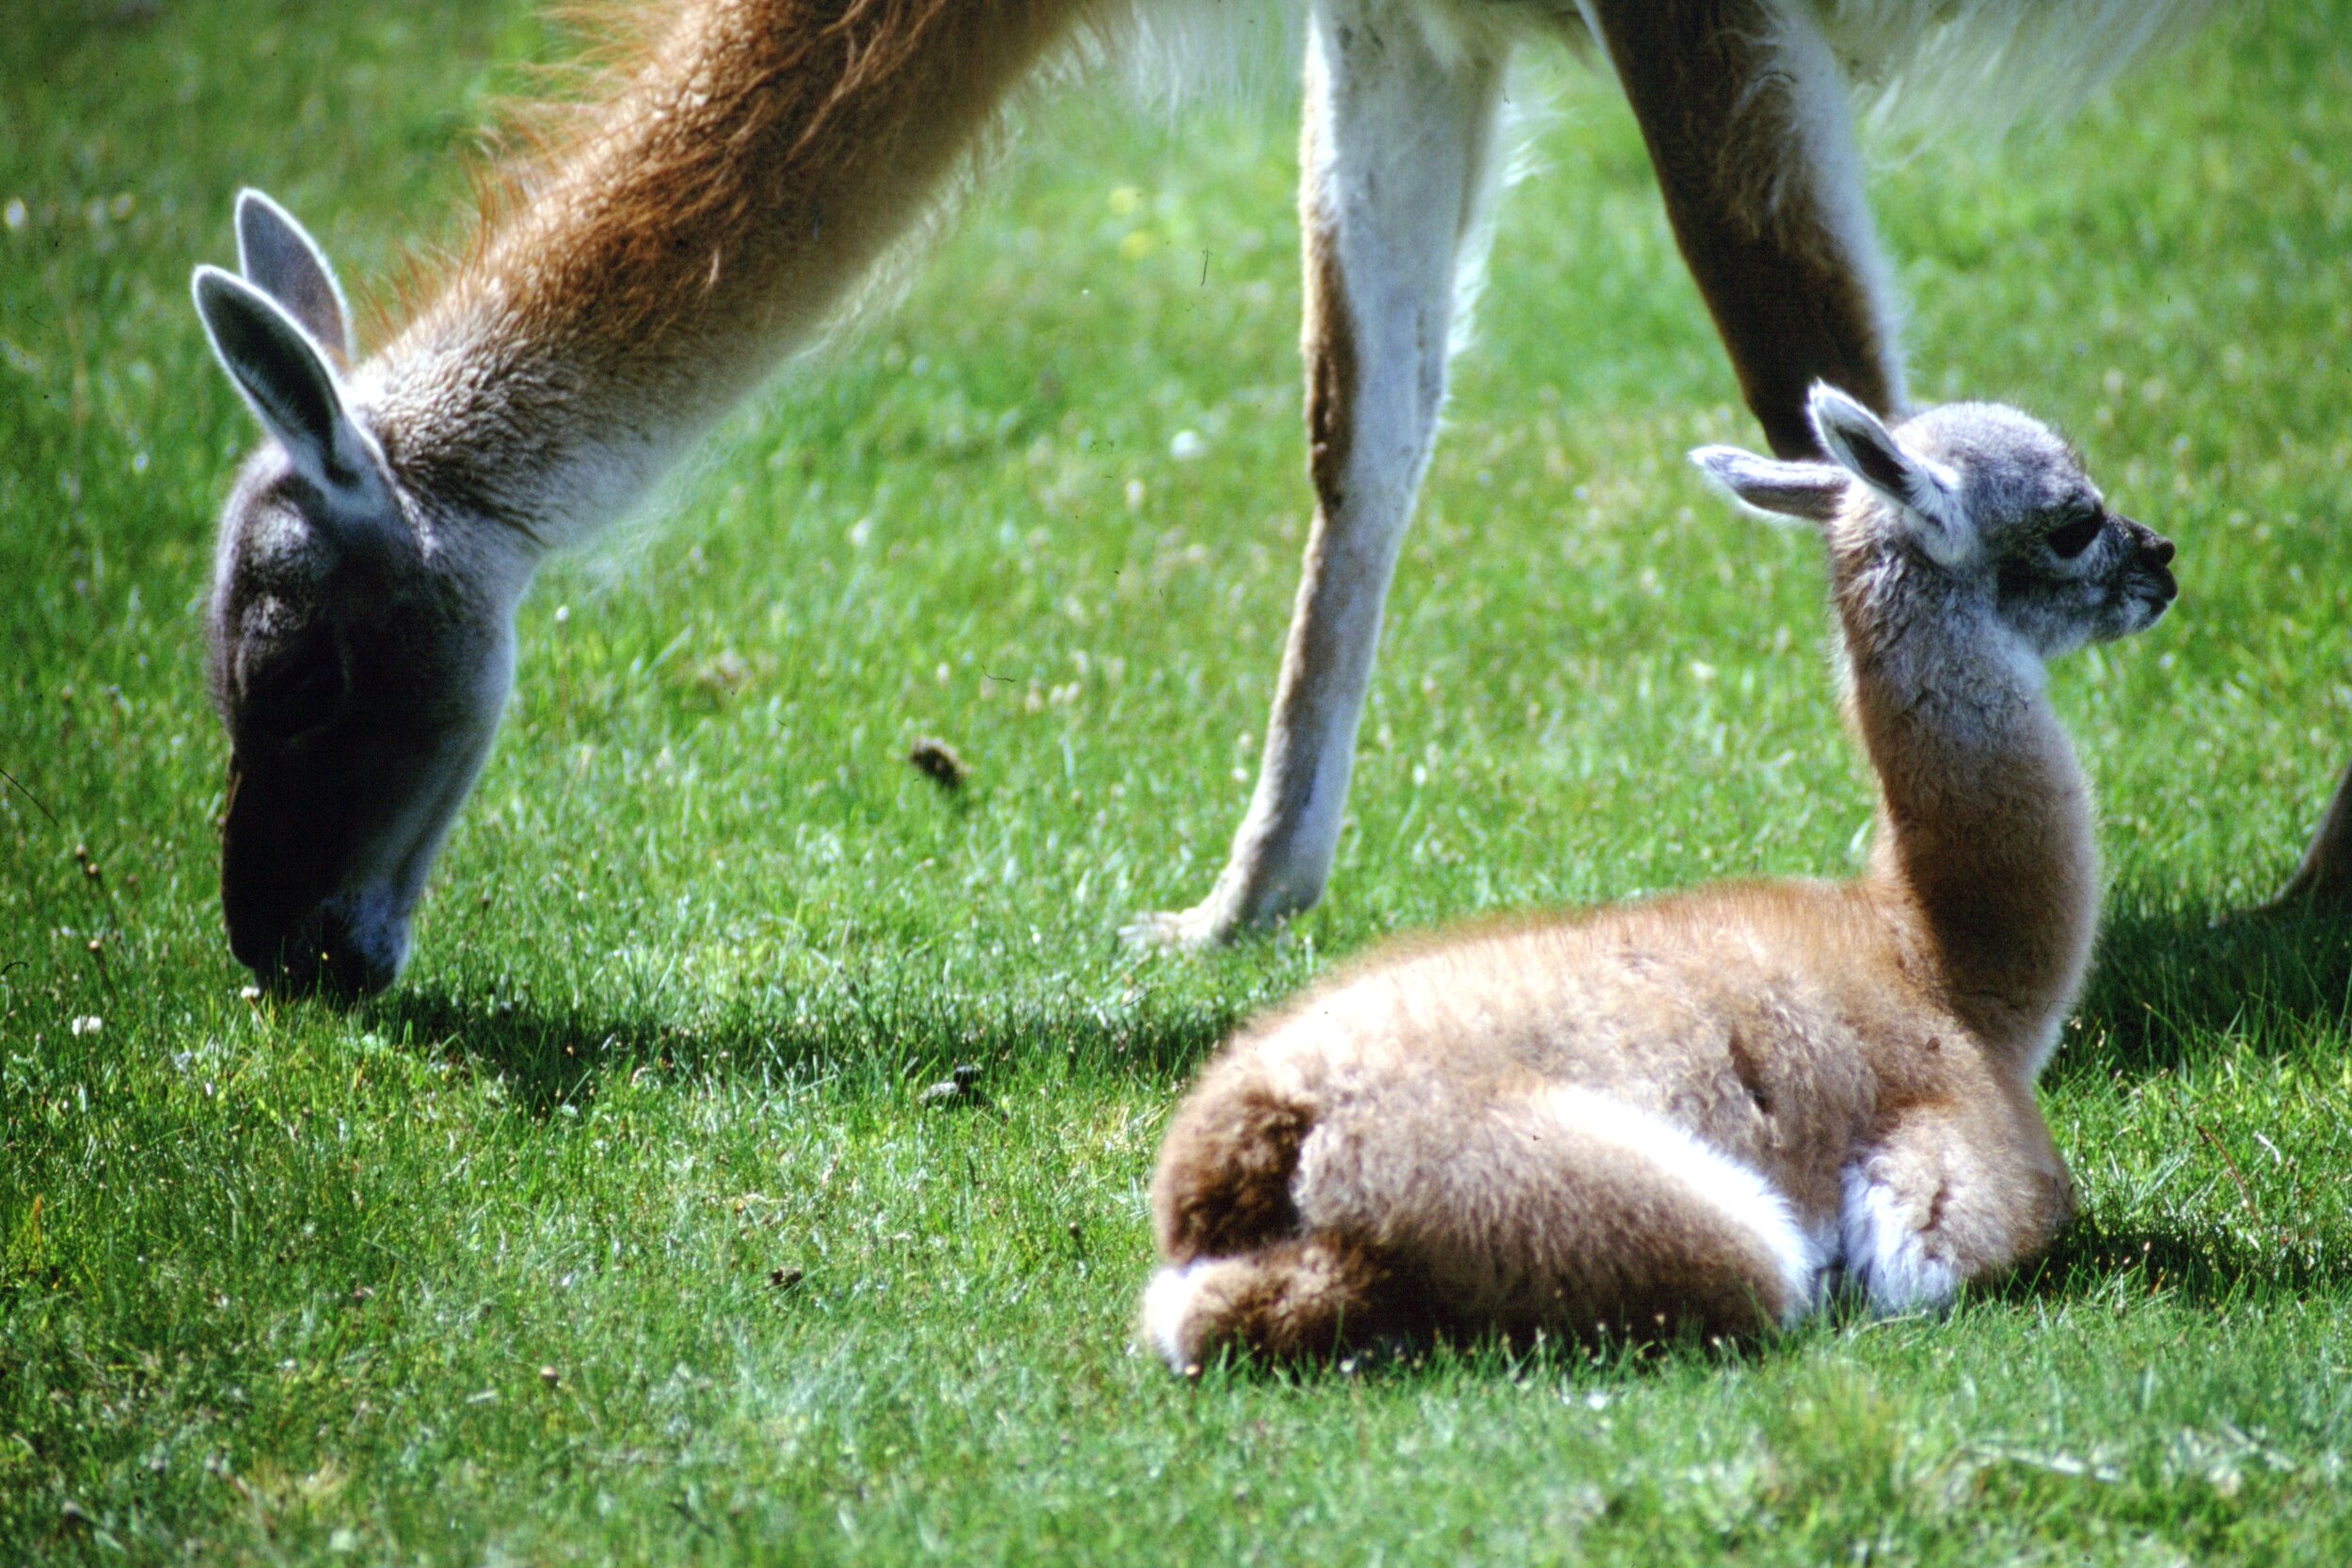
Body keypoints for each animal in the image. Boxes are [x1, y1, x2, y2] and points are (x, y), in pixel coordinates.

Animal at [193, 0, 2262, 997]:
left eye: (290, 669)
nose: (278, 948)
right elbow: (1364, 414)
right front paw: (1235, 904)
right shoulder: (1410, 9)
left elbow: (1823, 383)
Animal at [1140, 386, 2178, 1369]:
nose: (2163, 554)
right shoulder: (1957, 1173)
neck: (1932, 962)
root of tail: (1249, 1138)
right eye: (2072, 520)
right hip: (1572, 1196)